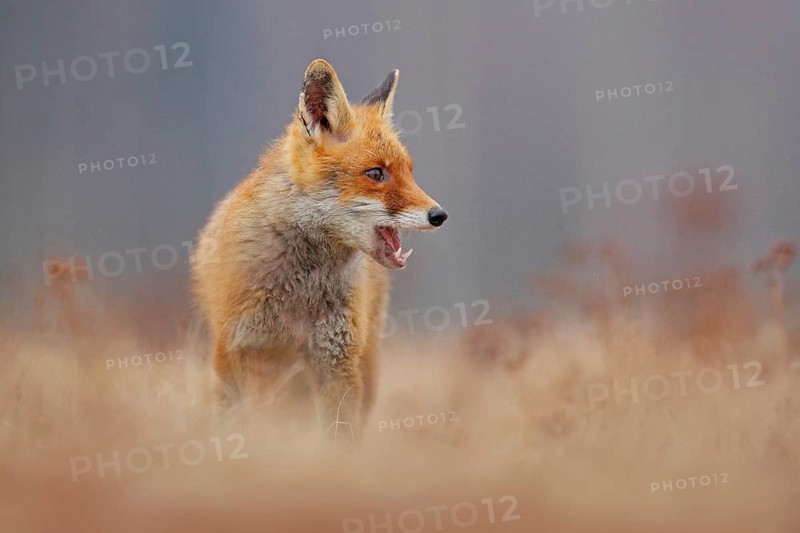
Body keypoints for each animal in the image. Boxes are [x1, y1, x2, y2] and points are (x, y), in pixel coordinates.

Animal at [192, 59, 447, 440]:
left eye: (409, 172)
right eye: (376, 173)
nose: (439, 215)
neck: (298, 291)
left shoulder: (335, 360)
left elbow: (340, 437)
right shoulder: (232, 350)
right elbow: (232, 424)